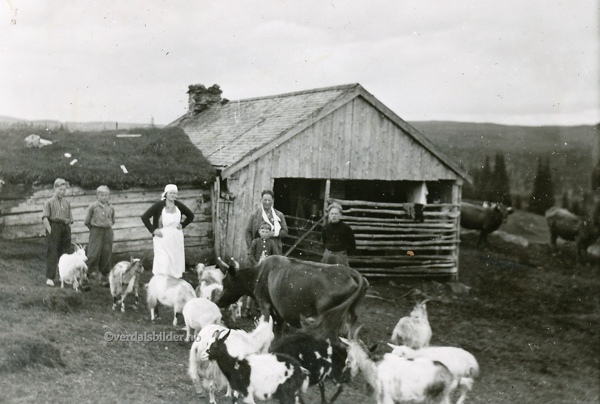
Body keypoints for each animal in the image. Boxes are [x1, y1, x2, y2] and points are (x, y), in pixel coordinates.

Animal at [216, 255, 369, 341]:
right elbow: (277, 334)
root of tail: (353, 273)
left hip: (330, 322)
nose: (218, 301)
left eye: (225, 283)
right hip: (348, 318)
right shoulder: (279, 314)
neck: (258, 274)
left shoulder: (265, 305)